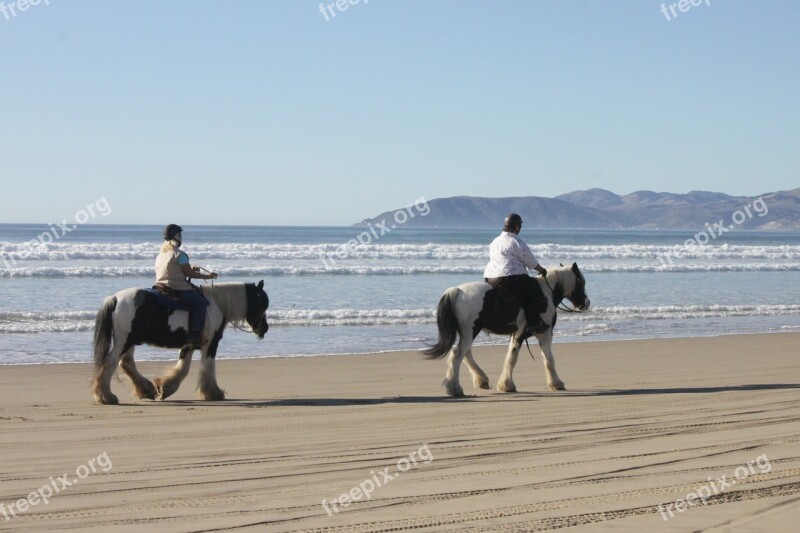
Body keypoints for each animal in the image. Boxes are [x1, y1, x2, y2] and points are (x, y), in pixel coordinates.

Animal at [91, 282, 268, 404]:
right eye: (261, 304)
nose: (264, 328)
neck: (216, 303)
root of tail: (114, 299)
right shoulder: (210, 344)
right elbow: (207, 367)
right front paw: (213, 393)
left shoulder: (188, 346)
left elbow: (183, 368)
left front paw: (165, 388)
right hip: (124, 341)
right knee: (111, 362)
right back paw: (106, 396)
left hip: (129, 341)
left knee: (126, 363)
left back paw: (145, 390)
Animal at [424, 264, 588, 394]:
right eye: (580, 282)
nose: (586, 304)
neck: (546, 293)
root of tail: (456, 290)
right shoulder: (543, 334)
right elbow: (547, 359)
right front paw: (556, 383)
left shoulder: (518, 334)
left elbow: (511, 357)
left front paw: (505, 385)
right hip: (470, 331)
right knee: (457, 354)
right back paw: (455, 388)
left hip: (467, 333)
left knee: (466, 354)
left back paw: (482, 380)